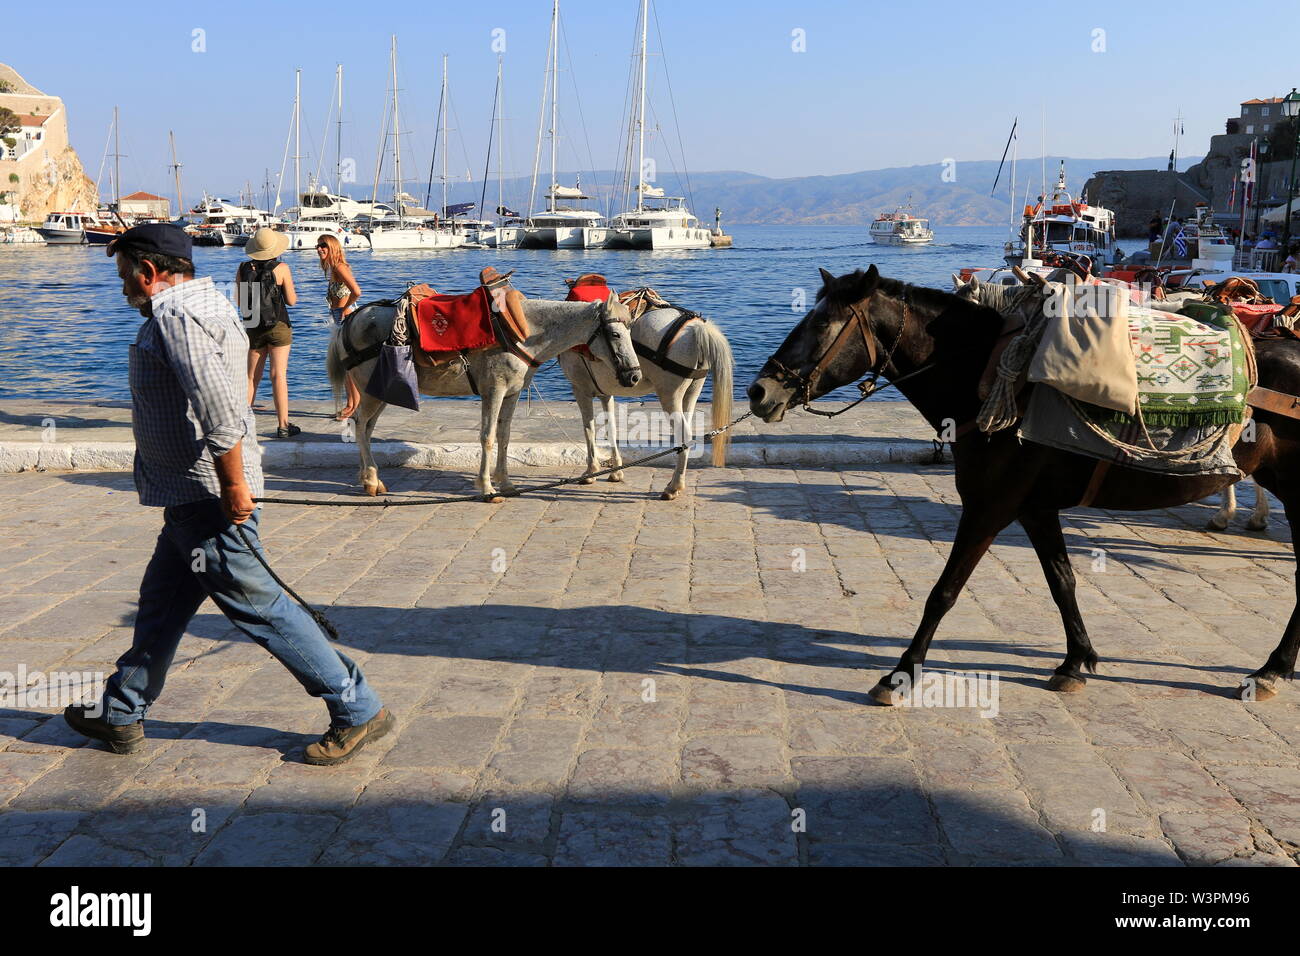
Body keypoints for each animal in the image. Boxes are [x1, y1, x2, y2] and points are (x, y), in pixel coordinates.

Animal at [754, 267, 1300, 702]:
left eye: (821, 324)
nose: (761, 391)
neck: (986, 378)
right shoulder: (1034, 508)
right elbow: (1062, 581)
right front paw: (1076, 661)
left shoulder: (989, 507)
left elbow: (943, 592)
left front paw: (901, 674)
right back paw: (1274, 666)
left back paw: (1270, 669)